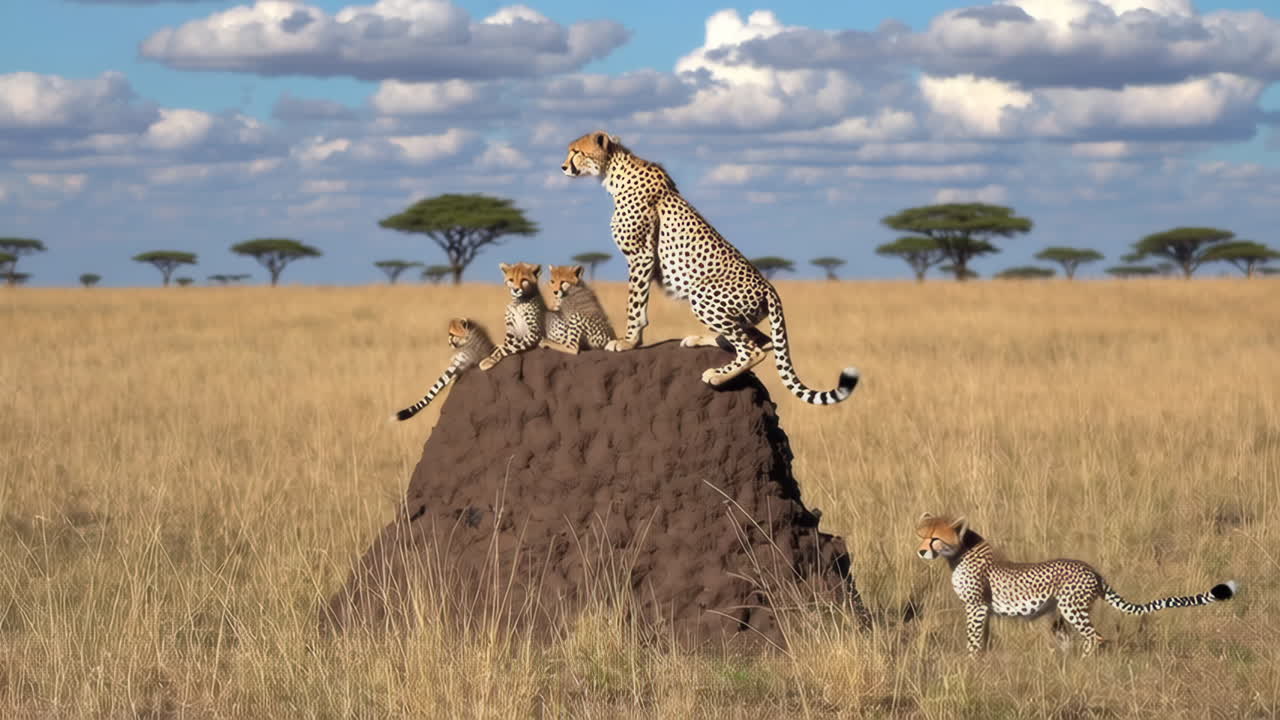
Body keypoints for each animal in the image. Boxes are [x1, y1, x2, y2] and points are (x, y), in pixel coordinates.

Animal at [561, 130, 859, 405]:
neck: (615, 171)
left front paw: (628, 341)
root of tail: (769, 287)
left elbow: (635, 305)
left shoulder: (641, 256)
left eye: (576, 151)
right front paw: (631, 340)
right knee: (763, 340)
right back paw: (704, 340)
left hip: (702, 294)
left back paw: (717, 374)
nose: (563, 167)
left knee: (753, 349)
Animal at [915, 513, 1238, 657]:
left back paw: (1082, 663)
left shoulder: (977, 607)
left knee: (1095, 638)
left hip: (1073, 609)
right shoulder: (984, 611)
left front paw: (970, 663)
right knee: (1072, 640)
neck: (960, 552)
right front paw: (981, 662)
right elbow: (982, 639)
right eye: (921, 535)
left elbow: (972, 639)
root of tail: (1091, 568)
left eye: (935, 538)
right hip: (1059, 614)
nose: (920, 551)